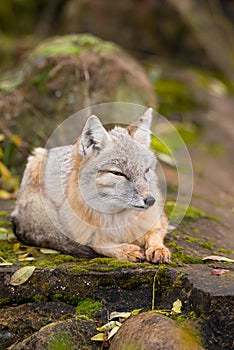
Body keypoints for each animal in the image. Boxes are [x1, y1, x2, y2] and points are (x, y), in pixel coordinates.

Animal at [10, 107, 170, 262]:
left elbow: (155, 233)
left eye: (146, 171)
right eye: (118, 173)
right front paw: (124, 250)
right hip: (36, 159)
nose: (151, 200)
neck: (117, 219)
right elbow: (97, 243)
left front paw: (158, 248)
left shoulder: (159, 218)